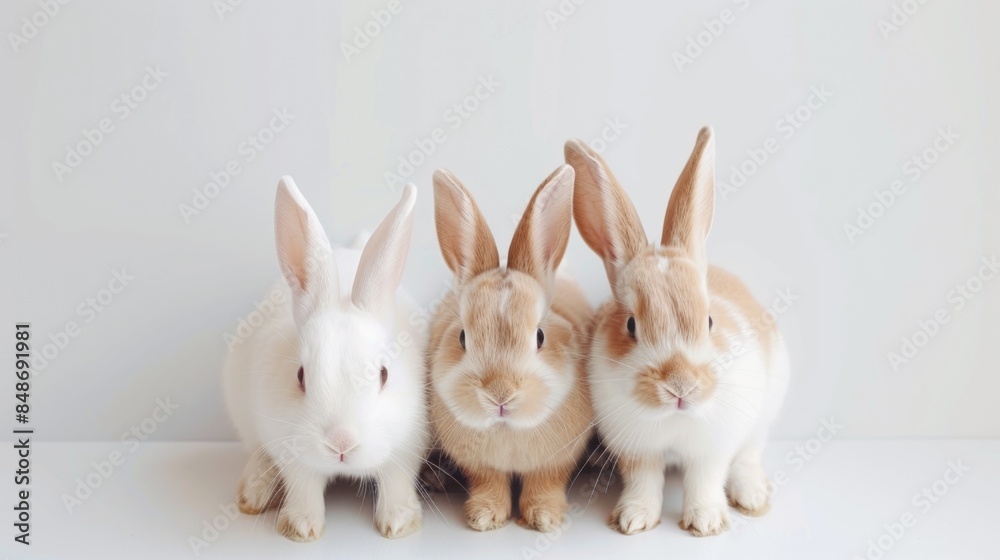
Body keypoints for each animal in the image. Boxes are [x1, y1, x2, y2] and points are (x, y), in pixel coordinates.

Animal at [222, 176, 428, 542]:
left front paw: (399, 523)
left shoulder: (407, 445)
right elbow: (303, 486)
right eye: (301, 376)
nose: (341, 442)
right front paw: (301, 528)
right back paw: (253, 493)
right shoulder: (290, 449)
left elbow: (396, 481)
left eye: (384, 374)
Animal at [427, 165, 595, 532]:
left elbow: (545, 483)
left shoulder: (556, 460)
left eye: (540, 336)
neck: (507, 429)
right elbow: (488, 483)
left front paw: (543, 517)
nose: (500, 395)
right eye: (462, 338)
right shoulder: (479, 465)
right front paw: (485, 517)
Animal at [564, 128, 790, 537]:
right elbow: (643, 481)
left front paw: (706, 521)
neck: (674, 419)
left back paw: (751, 496)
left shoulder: (712, 448)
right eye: (631, 325)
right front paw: (633, 519)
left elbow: (705, 479)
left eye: (710, 321)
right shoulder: (637, 450)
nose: (680, 386)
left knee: (750, 453)